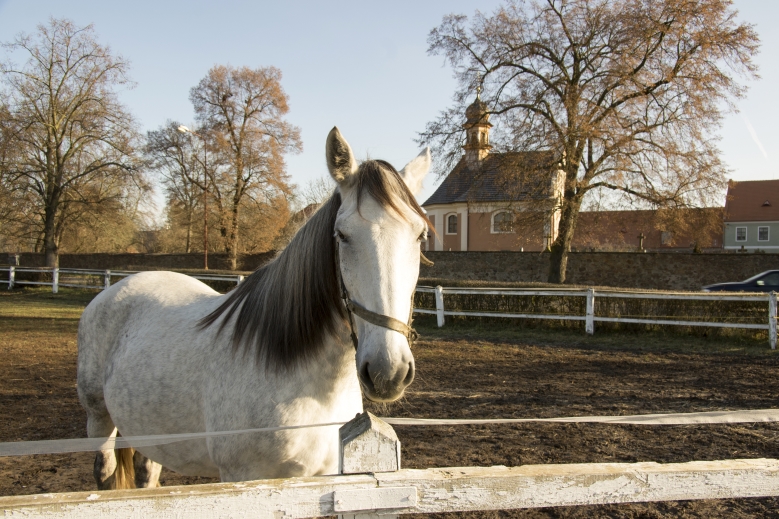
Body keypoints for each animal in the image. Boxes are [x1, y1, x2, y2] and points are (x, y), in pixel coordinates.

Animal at [77, 128, 432, 490]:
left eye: (420, 236)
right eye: (342, 235)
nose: (388, 371)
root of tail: (116, 288)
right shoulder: (242, 477)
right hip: (99, 421)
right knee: (105, 472)